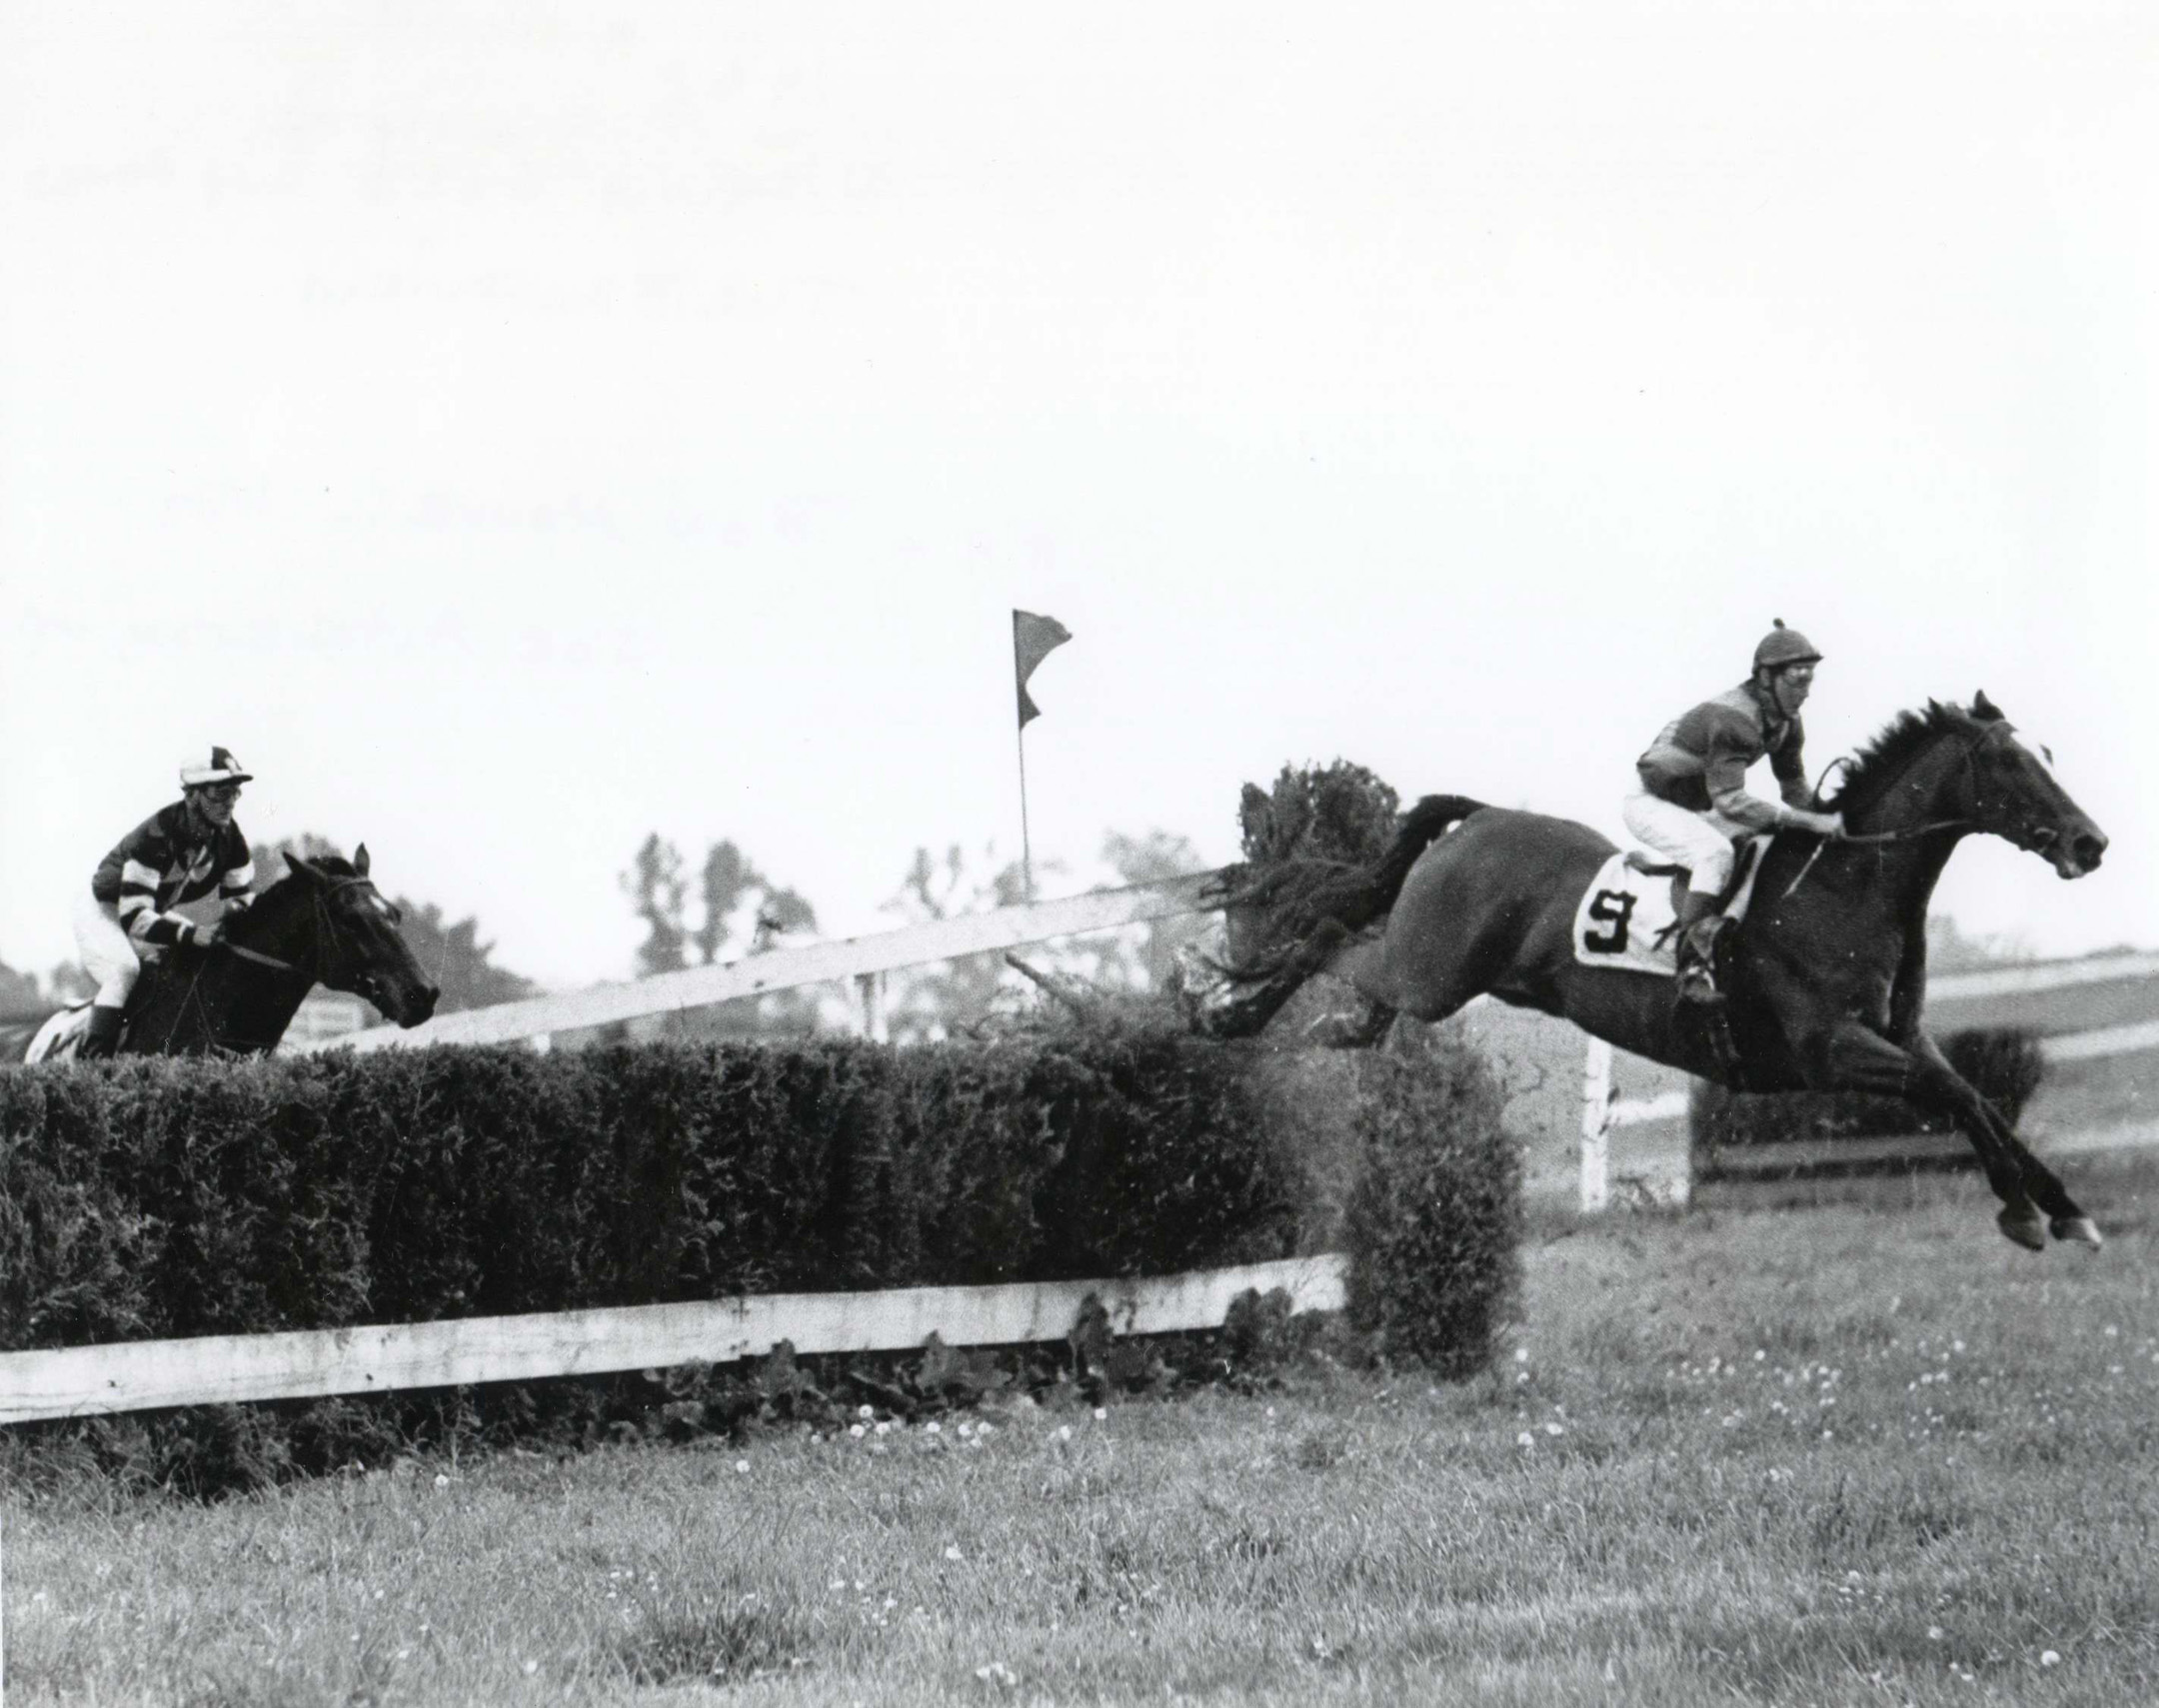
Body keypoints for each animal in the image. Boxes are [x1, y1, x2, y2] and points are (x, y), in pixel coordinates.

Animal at [1208, 695, 2115, 1252]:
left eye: (2046, 754)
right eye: (2012, 764)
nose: (2091, 841)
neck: (1843, 885)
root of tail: (1481, 817)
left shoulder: (1902, 1037)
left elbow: (1979, 1099)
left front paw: (2067, 1210)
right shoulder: (1831, 1047)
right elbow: (1960, 1095)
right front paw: (2024, 1211)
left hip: (1438, 977)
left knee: (1358, 972)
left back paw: (1334, 1025)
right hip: (1429, 969)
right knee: (1330, 934)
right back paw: (1231, 1016)